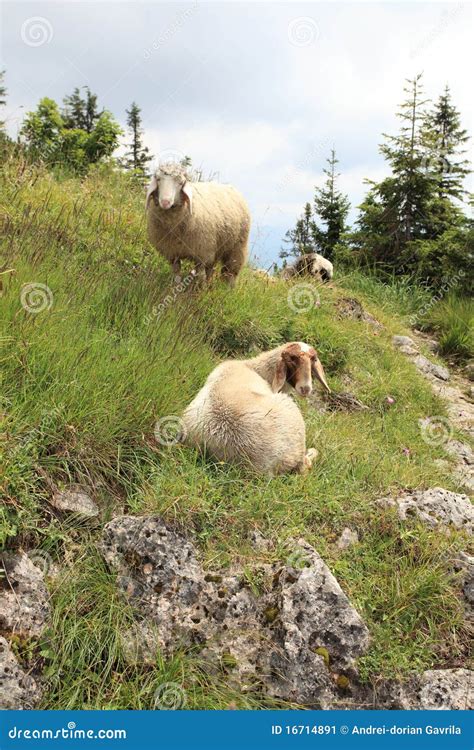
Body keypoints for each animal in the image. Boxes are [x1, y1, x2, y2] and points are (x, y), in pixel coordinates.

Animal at [181, 342, 330, 476]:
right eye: (291, 359)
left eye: (313, 360)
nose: (306, 388)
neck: (255, 369)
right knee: (305, 465)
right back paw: (312, 452)